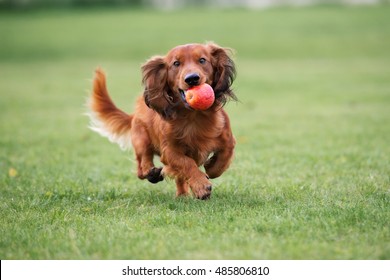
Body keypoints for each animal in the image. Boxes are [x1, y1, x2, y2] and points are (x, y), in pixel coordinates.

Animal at [87, 42, 236, 199]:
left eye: (202, 60)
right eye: (176, 63)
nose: (192, 78)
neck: (194, 117)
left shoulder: (228, 140)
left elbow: (224, 158)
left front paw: (211, 168)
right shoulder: (170, 151)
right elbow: (186, 163)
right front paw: (201, 185)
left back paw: (182, 194)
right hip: (141, 139)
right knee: (142, 166)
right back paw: (152, 174)